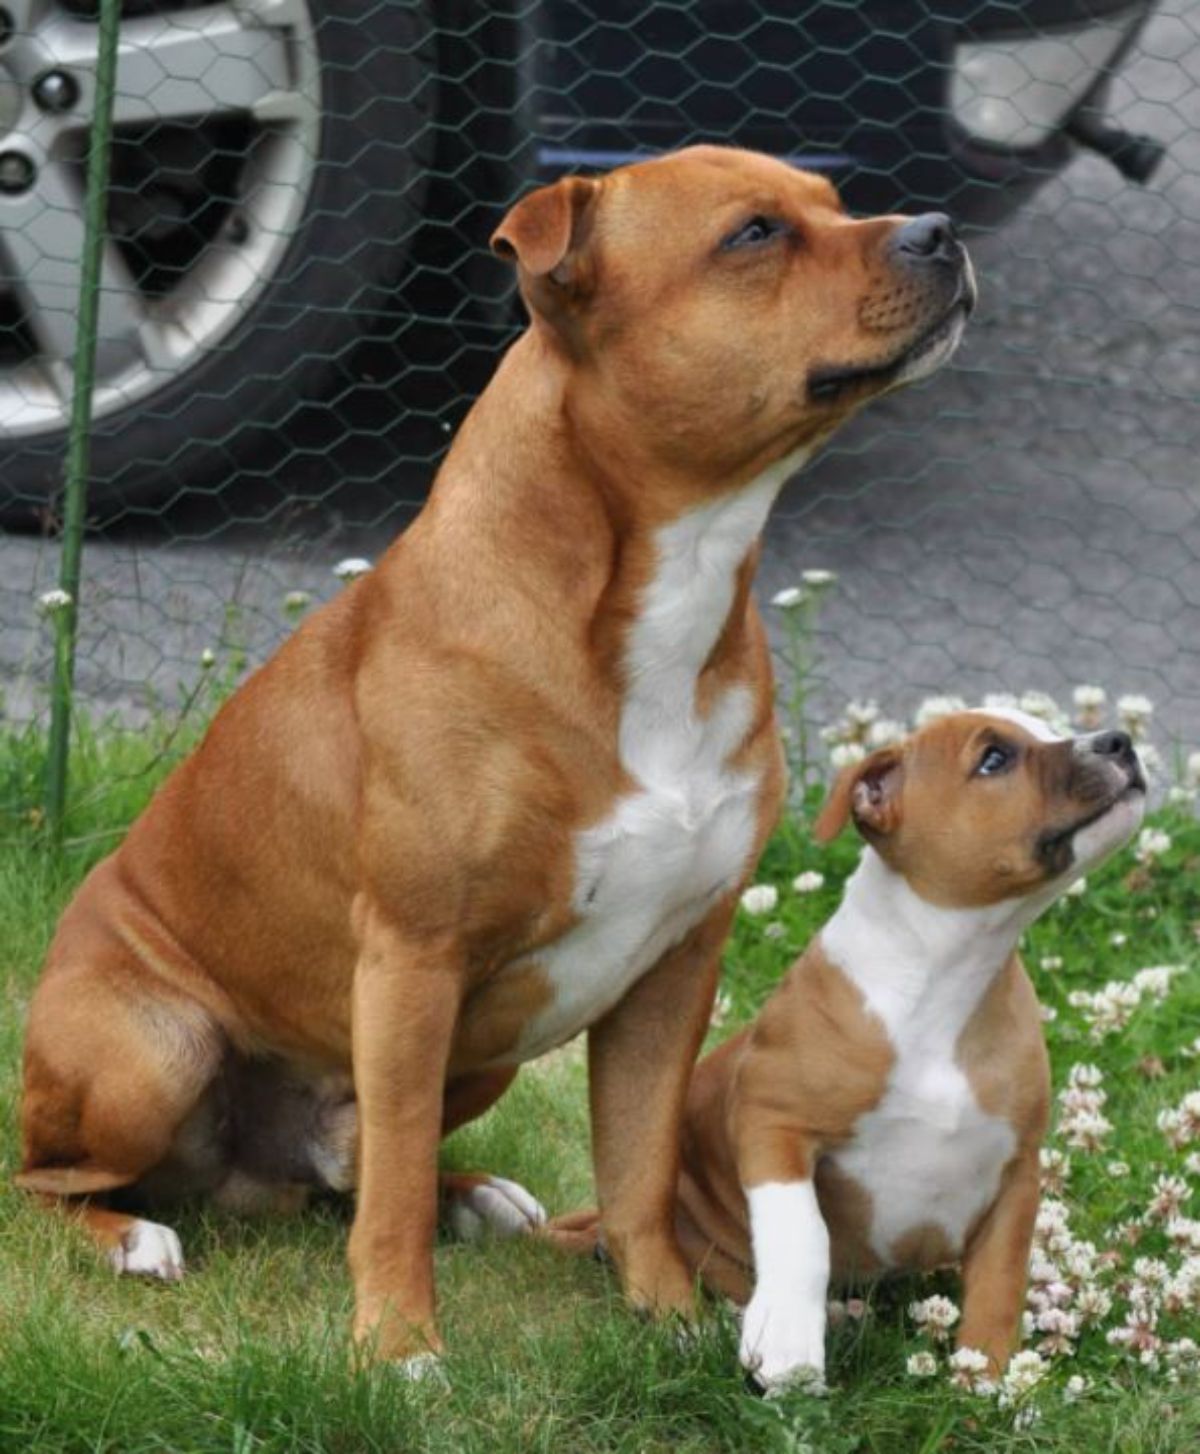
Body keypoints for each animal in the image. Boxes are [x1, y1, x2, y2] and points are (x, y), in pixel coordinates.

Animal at [14, 147, 971, 1372]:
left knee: (357, 1166)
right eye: (754, 234)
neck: (662, 582)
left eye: (835, 202)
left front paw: (664, 1313)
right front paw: (396, 1345)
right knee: (58, 1178)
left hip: (487, 1054)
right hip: (156, 1047)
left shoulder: (673, 969)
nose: (938, 230)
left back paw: (468, 1194)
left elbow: (637, 1165)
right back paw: (131, 1234)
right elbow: (391, 1201)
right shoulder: (413, 959)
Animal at [558, 709, 1146, 1390]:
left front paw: (989, 1381)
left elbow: (1001, 1281)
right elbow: (800, 1234)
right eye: (994, 759)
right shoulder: (771, 1119)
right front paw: (788, 1344)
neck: (946, 976)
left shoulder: (1016, 1171)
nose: (1120, 742)